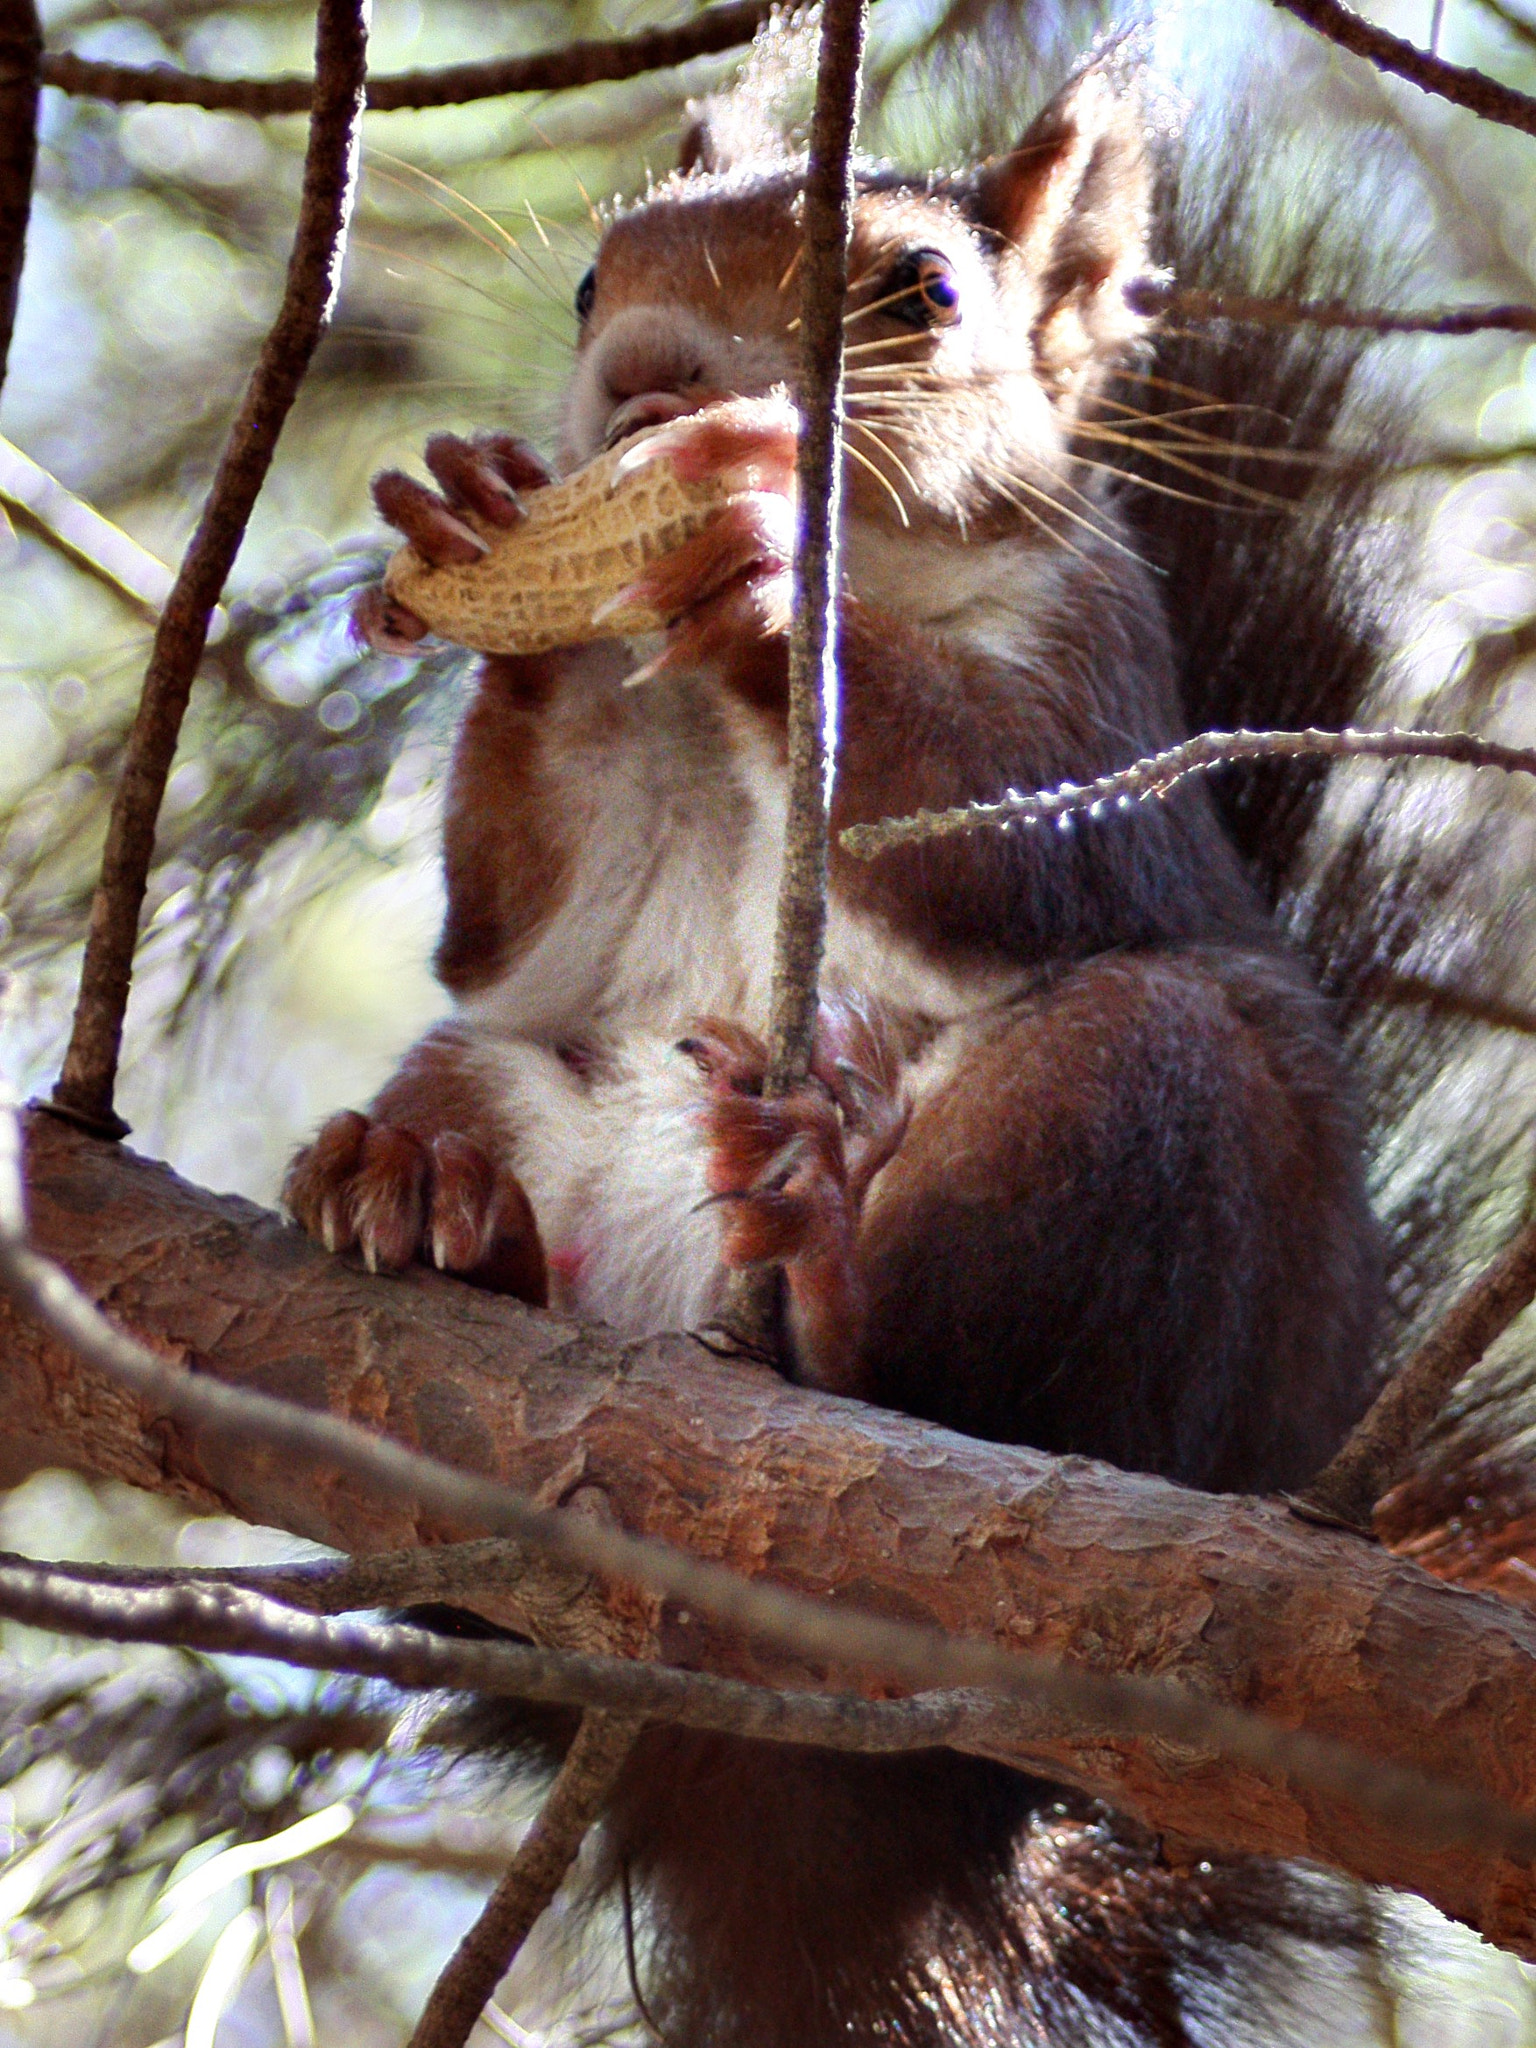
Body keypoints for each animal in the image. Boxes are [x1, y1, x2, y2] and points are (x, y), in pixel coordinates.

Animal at [286, 44, 1409, 2048]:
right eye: (597, 279)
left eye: (923, 296)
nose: (647, 377)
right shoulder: (560, 875)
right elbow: (511, 925)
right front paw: (492, 545)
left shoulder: (1103, 701)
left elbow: (999, 824)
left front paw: (761, 566)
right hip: (521, 1099)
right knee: (474, 1099)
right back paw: (425, 1197)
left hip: (1132, 1115)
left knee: (962, 1363)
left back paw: (831, 1277)